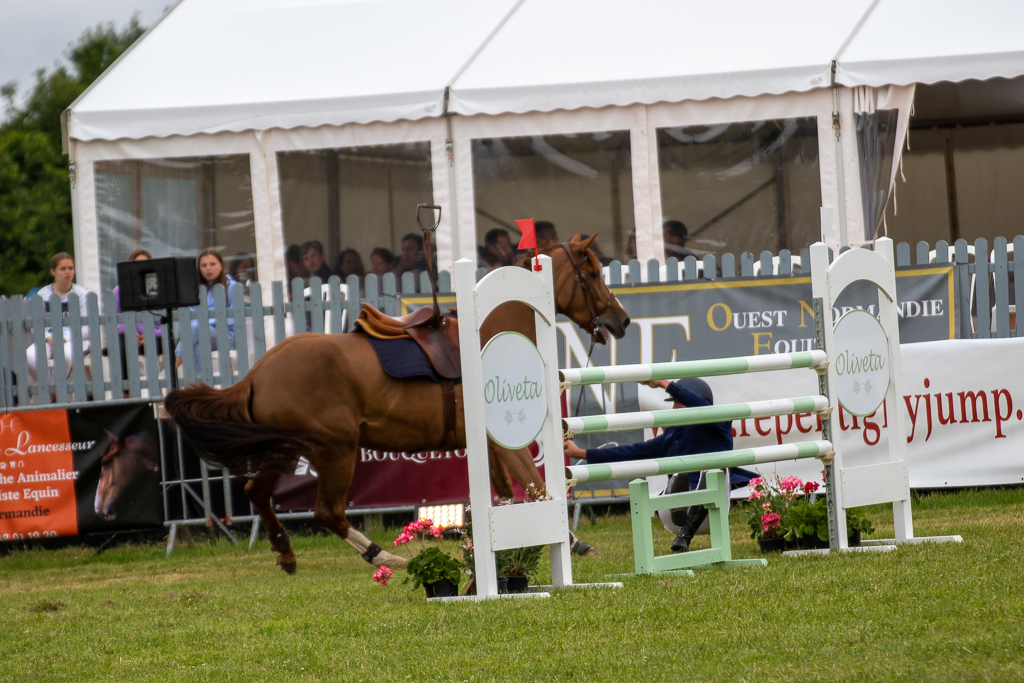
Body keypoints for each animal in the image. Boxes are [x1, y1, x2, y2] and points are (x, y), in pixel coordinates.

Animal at [164, 234, 630, 574]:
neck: (492, 332)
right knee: (327, 511)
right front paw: (572, 541)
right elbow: (534, 485)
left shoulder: (490, 444)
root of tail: (258, 371)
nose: (621, 320)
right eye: (591, 272)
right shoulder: (502, 441)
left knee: (256, 491)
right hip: (335, 449)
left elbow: (509, 490)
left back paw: (286, 552)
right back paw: (382, 556)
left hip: (288, 449)